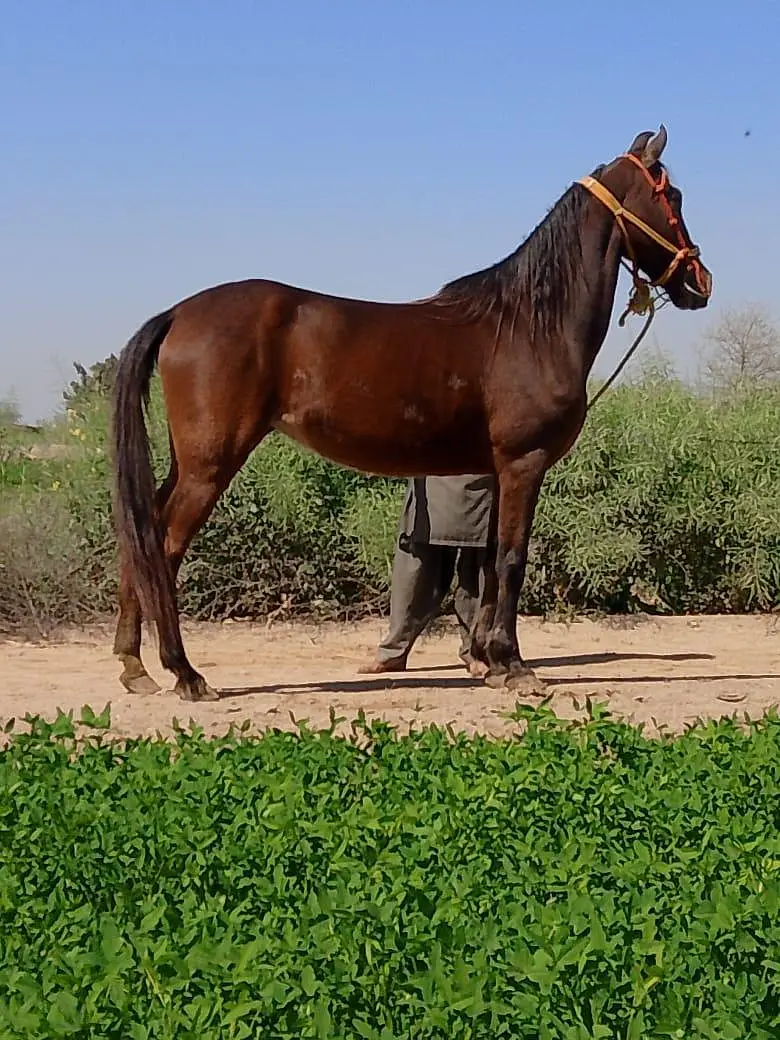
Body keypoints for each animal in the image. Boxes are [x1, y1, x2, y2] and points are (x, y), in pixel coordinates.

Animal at [111, 125, 712, 701]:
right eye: (673, 196)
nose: (700, 282)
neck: (529, 324)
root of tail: (179, 313)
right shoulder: (524, 463)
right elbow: (512, 560)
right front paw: (516, 667)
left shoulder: (497, 472)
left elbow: (488, 563)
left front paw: (491, 663)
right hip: (209, 466)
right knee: (163, 546)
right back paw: (185, 674)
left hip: (188, 464)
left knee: (141, 534)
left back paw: (134, 667)